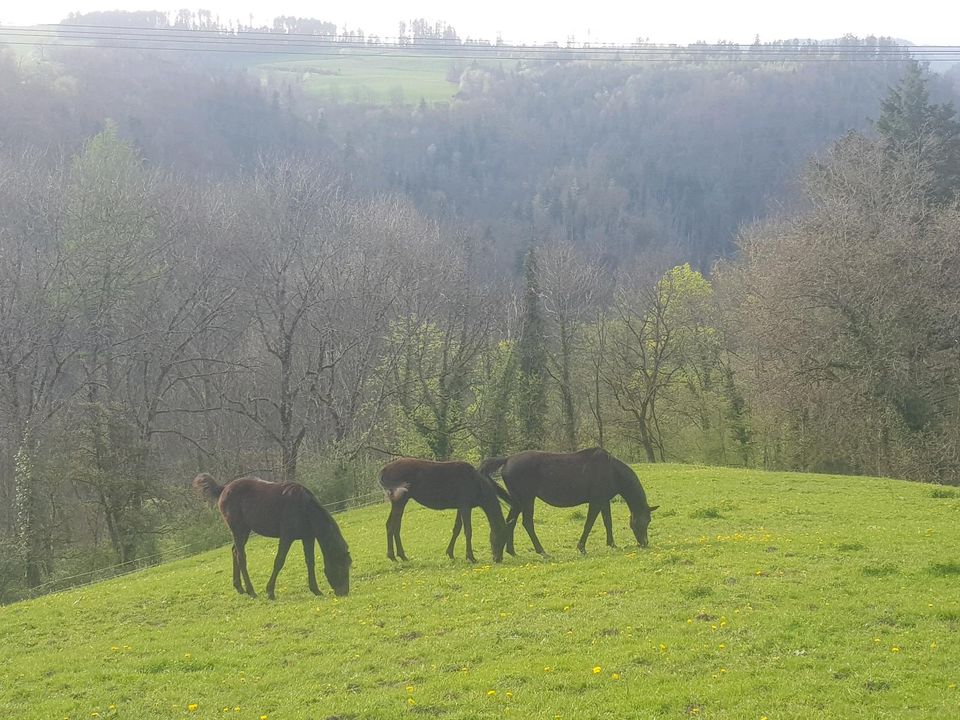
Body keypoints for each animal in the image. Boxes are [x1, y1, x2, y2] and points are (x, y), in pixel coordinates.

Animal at [191, 476, 352, 600]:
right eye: (341, 565)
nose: (344, 592)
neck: (304, 507)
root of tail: (224, 488)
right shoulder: (286, 537)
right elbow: (279, 561)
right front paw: (270, 592)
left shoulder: (308, 537)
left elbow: (310, 562)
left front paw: (316, 590)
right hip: (238, 530)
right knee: (241, 557)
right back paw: (251, 591)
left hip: (243, 532)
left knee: (234, 551)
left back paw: (240, 588)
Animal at [376, 458, 512, 564]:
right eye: (501, 536)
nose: (498, 559)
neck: (476, 483)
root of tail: (384, 470)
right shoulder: (465, 506)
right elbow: (468, 531)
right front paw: (471, 557)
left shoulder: (460, 507)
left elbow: (457, 529)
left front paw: (450, 553)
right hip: (400, 500)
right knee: (393, 526)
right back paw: (395, 556)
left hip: (399, 502)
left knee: (392, 525)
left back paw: (400, 556)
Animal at [480, 450, 660, 556]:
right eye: (647, 520)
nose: (644, 543)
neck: (612, 471)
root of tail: (507, 459)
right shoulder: (595, 502)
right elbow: (589, 523)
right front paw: (581, 547)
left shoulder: (604, 501)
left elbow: (607, 522)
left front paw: (612, 544)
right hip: (526, 499)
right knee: (527, 523)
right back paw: (541, 551)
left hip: (517, 500)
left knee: (510, 521)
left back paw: (511, 551)